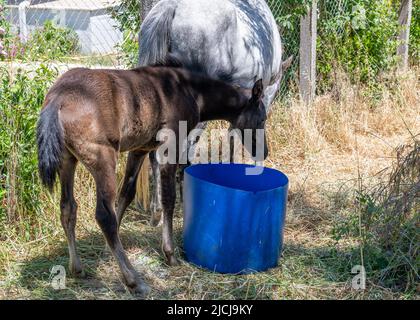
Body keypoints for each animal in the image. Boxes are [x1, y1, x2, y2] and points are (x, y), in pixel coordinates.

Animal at [36, 65, 266, 296]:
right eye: (263, 118)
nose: (264, 151)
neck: (189, 90)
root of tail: (58, 98)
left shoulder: (139, 149)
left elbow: (126, 194)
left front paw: (107, 249)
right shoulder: (170, 146)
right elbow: (168, 199)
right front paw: (170, 254)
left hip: (68, 159)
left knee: (68, 207)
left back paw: (77, 268)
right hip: (103, 158)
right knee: (103, 216)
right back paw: (134, 280)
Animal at [136, 0, 290, 225]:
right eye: (263, 118)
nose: (264, 152)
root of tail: (171, 7)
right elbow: (232, 136)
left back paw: (157, 212)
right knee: (182, 151)